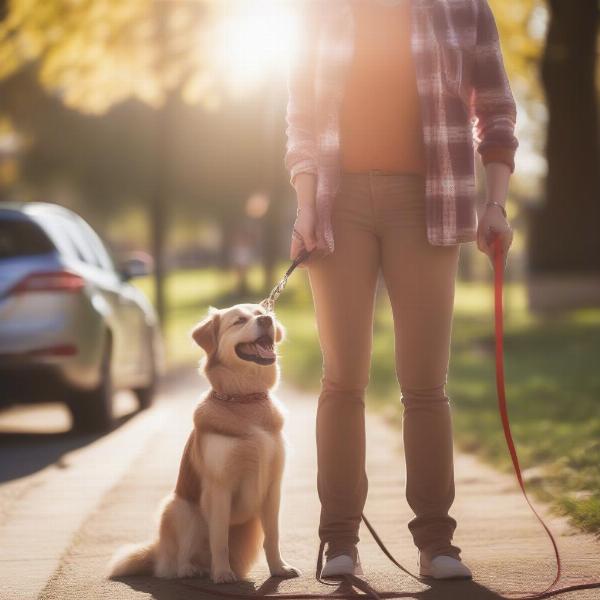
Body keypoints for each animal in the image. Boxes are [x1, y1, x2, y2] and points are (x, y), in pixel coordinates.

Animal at [108, 302, 300, 584]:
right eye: (239, 320)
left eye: (261, 313)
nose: (266, 320)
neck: (245, 401)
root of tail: (159, 551)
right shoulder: (219, 488)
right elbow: (218, 538)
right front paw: (222, 574)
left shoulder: (273, 487)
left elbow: (273, 536)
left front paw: (279, 568)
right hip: (180, 508)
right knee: (179, 559)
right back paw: (193, 569)